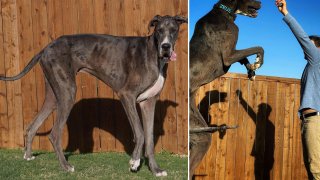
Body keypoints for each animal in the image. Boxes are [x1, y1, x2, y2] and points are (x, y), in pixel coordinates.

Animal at [0, 14, 188, 176]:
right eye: (159, 30)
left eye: (173, 30)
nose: (166, 47)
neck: (153, 52)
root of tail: (46, 48)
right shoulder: (126, 95)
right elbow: (140, 133)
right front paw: (134, 162)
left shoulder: (148, 102)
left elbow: (149, 139)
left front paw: (156, 170)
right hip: (68, 92)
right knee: (54, 134)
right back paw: (66, 166)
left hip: (54, 95)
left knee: (32, 126)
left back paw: (28, 156)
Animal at [190, 0, 262, 179]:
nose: (261, 4)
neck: (224, 12)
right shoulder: (229, 56)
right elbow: (258, 48)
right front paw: (258, 61)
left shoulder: (232, 55)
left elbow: (245, 57)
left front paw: (251, 70)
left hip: (199, 131)